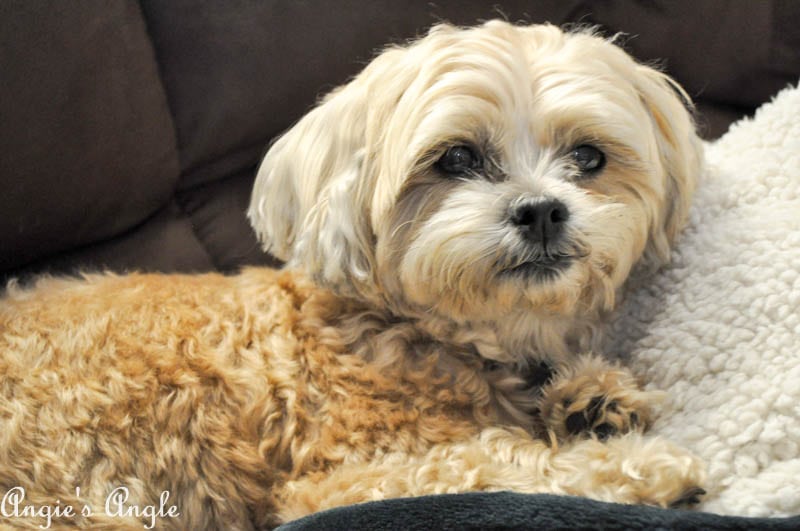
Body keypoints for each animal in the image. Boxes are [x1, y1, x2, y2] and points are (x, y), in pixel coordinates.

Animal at [0, 21, 704, 531]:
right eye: (456, 158)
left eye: (588, 156)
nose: (541, 211)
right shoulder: (347, 480)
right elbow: (499, 461)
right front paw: (647, 467)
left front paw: (594, 400)